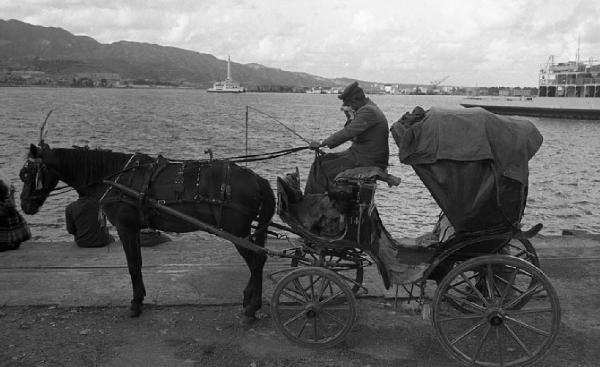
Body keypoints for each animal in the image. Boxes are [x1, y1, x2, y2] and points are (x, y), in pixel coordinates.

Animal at [18, 142, 276, 320]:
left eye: (28, 174)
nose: (25, 205)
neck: (115, 178)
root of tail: (258, 179)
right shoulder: (133, 228)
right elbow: (138, 263)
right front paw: (140, 297)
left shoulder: (125, 227)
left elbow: (133, 264)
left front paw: (135, 303)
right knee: (258, 260)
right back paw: (250, 299)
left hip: (237, 231)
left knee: (257, 261)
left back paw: (252, 306)